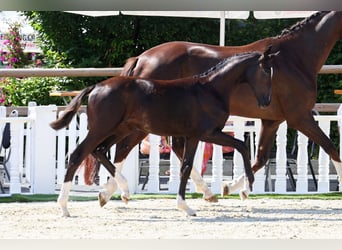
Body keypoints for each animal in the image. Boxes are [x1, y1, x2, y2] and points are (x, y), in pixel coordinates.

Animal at [52, 49, 278, 217]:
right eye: (266, 71)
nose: (266, 101)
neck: (210, 90)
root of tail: (96, 86)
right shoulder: (206, 133)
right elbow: (240, 146)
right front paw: (245, 188)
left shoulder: (194, 136)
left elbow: (188, 166)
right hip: (102, 128)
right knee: (78, 155)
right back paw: (64, 206)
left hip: (121, 128)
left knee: (101, 150)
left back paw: (121, 190)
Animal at [97, 10, 342, 205]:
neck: (295, 57)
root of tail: (141, 58)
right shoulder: (299, 117)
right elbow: (332, 149)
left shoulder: (273, 120)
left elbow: (260, 158)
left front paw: (233, 188)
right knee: (124, 148)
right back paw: (115, 192)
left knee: (167, 148)